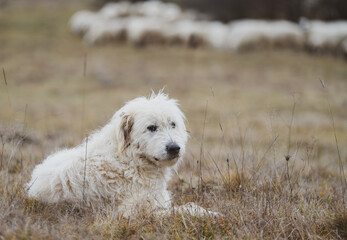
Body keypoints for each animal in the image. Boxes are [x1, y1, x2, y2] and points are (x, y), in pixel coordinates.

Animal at [27, 93, 218, 217]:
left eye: (173, 124)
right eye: (151, 127)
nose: (174, 148)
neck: (130, 160)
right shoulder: (135, 211)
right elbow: (185, 210)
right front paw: (211, 214)